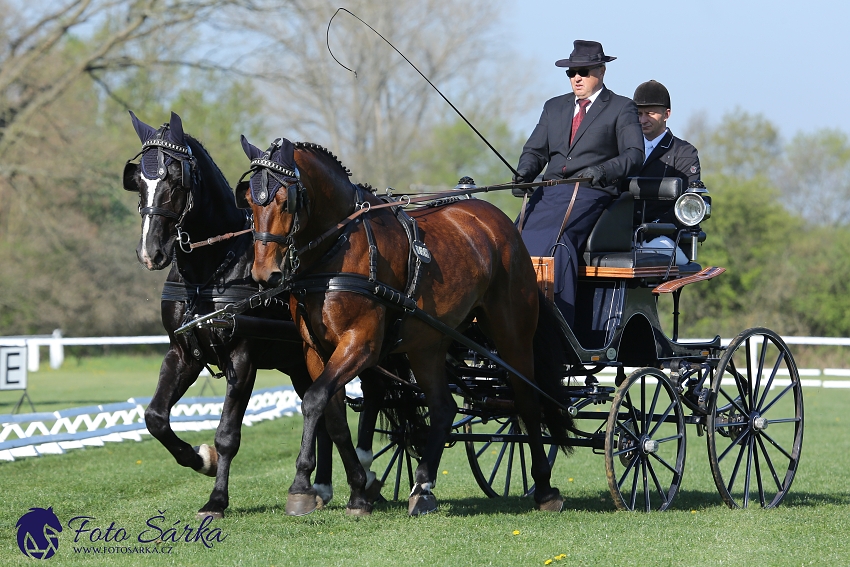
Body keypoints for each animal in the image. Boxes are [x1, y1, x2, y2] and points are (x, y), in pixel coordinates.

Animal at [121, 113, 350, 520]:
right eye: (138, 182)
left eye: (176, 179)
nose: (150, 253)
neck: (208, 273)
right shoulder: (183, 353)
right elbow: (155, 418)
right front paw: (201, 459)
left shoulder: (242, 359)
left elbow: (228, 434)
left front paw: (216, 498)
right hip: (300, 365)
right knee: (323, 414)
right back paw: (320, 487)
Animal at [238, 136, 568, 516]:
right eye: (249, 200)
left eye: (285, 199)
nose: (265, 274)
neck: (340, 246)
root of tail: (499, 223)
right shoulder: (315, 350)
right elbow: (331, 415)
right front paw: (357, 490)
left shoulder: (361, 344)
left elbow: (315, 399)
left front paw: (303, 486)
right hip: (428, 345)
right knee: (444, 407)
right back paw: (422, 487)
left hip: (511, 333)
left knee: (527, 402)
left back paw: (544, 488)